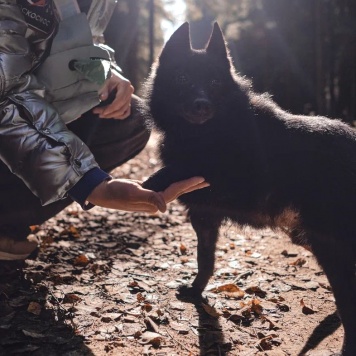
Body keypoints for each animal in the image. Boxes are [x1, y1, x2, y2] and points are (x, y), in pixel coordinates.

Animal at [142, 23, 356, 356]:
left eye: (214, 81)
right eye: (182, 78)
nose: (202, 104)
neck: (202, 134)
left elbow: (181, 168)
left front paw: (144, 184)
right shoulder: (204, 217)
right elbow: (205, 261)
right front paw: (196, 291)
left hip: (330, 247)